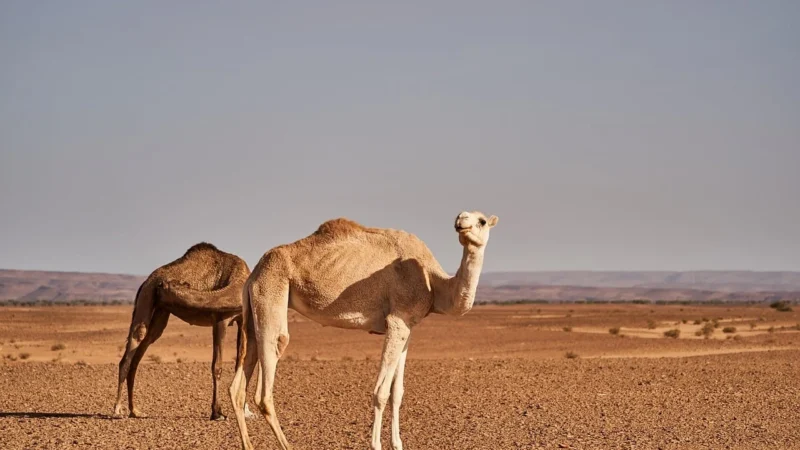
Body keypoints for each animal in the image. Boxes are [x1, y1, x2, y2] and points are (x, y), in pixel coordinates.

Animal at [113, 242, 254, 421]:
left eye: (164, 286)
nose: (159, 285)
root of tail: (146, 282)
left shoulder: (242, 321)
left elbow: (240, 363)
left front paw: (245, 411)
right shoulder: (220, 320)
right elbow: (217, 366)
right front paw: (217, 413)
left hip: (158, 312)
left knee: (139, 354)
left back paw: (135, 410)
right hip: (145, 301)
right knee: (129, 353)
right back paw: (118, 410)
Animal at [229, 211, 499, 450]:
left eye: (482, 221)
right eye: (463, 216)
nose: (461, 221)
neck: (432, 281)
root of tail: (255, 271)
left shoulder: (408, 327)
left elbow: (397, 392)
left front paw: (398, 444)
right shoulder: (397, 321)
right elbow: (381, 393)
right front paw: (376, 444)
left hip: (252, 308)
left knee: (238, 385)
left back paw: (248, 444)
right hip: (271, 288)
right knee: (266, 382)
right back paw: (287, 444)